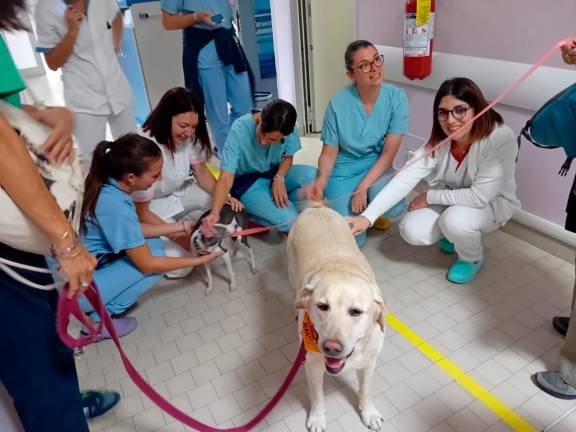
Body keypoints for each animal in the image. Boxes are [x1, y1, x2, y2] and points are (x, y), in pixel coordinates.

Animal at [288, 205, 388, 432]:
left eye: (356, 312)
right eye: (322, 307)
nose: (331, 347)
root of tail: (317, 206)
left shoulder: (369, 363)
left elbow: (365, 390)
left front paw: (369, 413)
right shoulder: (312, 365)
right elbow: (317, 396)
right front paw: (317, 418)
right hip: (292, 270)